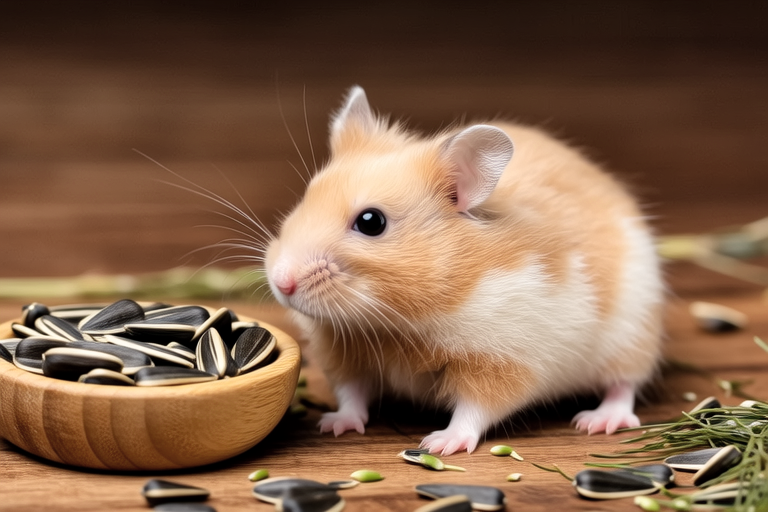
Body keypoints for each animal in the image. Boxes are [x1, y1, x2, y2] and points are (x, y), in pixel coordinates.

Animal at [265, 86, 664, 455]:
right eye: (306, 196)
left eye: (371, 222)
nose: (281, 283)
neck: (396, 322)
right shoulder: (344, 352)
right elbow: (351, 392)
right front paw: (332, 425)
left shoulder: (506, 359)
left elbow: (474, 409)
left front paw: (438, 445)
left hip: (632, 331)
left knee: (624, 385)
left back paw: (597, 422)